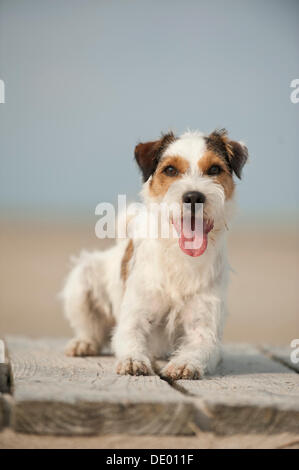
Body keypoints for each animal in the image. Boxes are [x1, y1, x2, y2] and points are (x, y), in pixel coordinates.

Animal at [62, 130, 248, 380]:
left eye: (214, 169)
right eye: (170, 170)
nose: (193, 197)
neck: (179, 256)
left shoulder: (204, 327)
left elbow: (199, 347)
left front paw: (184, 364)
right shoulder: (134, 318)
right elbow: (130, 339)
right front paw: (133, 361)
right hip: (83, 281)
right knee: (90, 329)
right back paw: (84, 343)